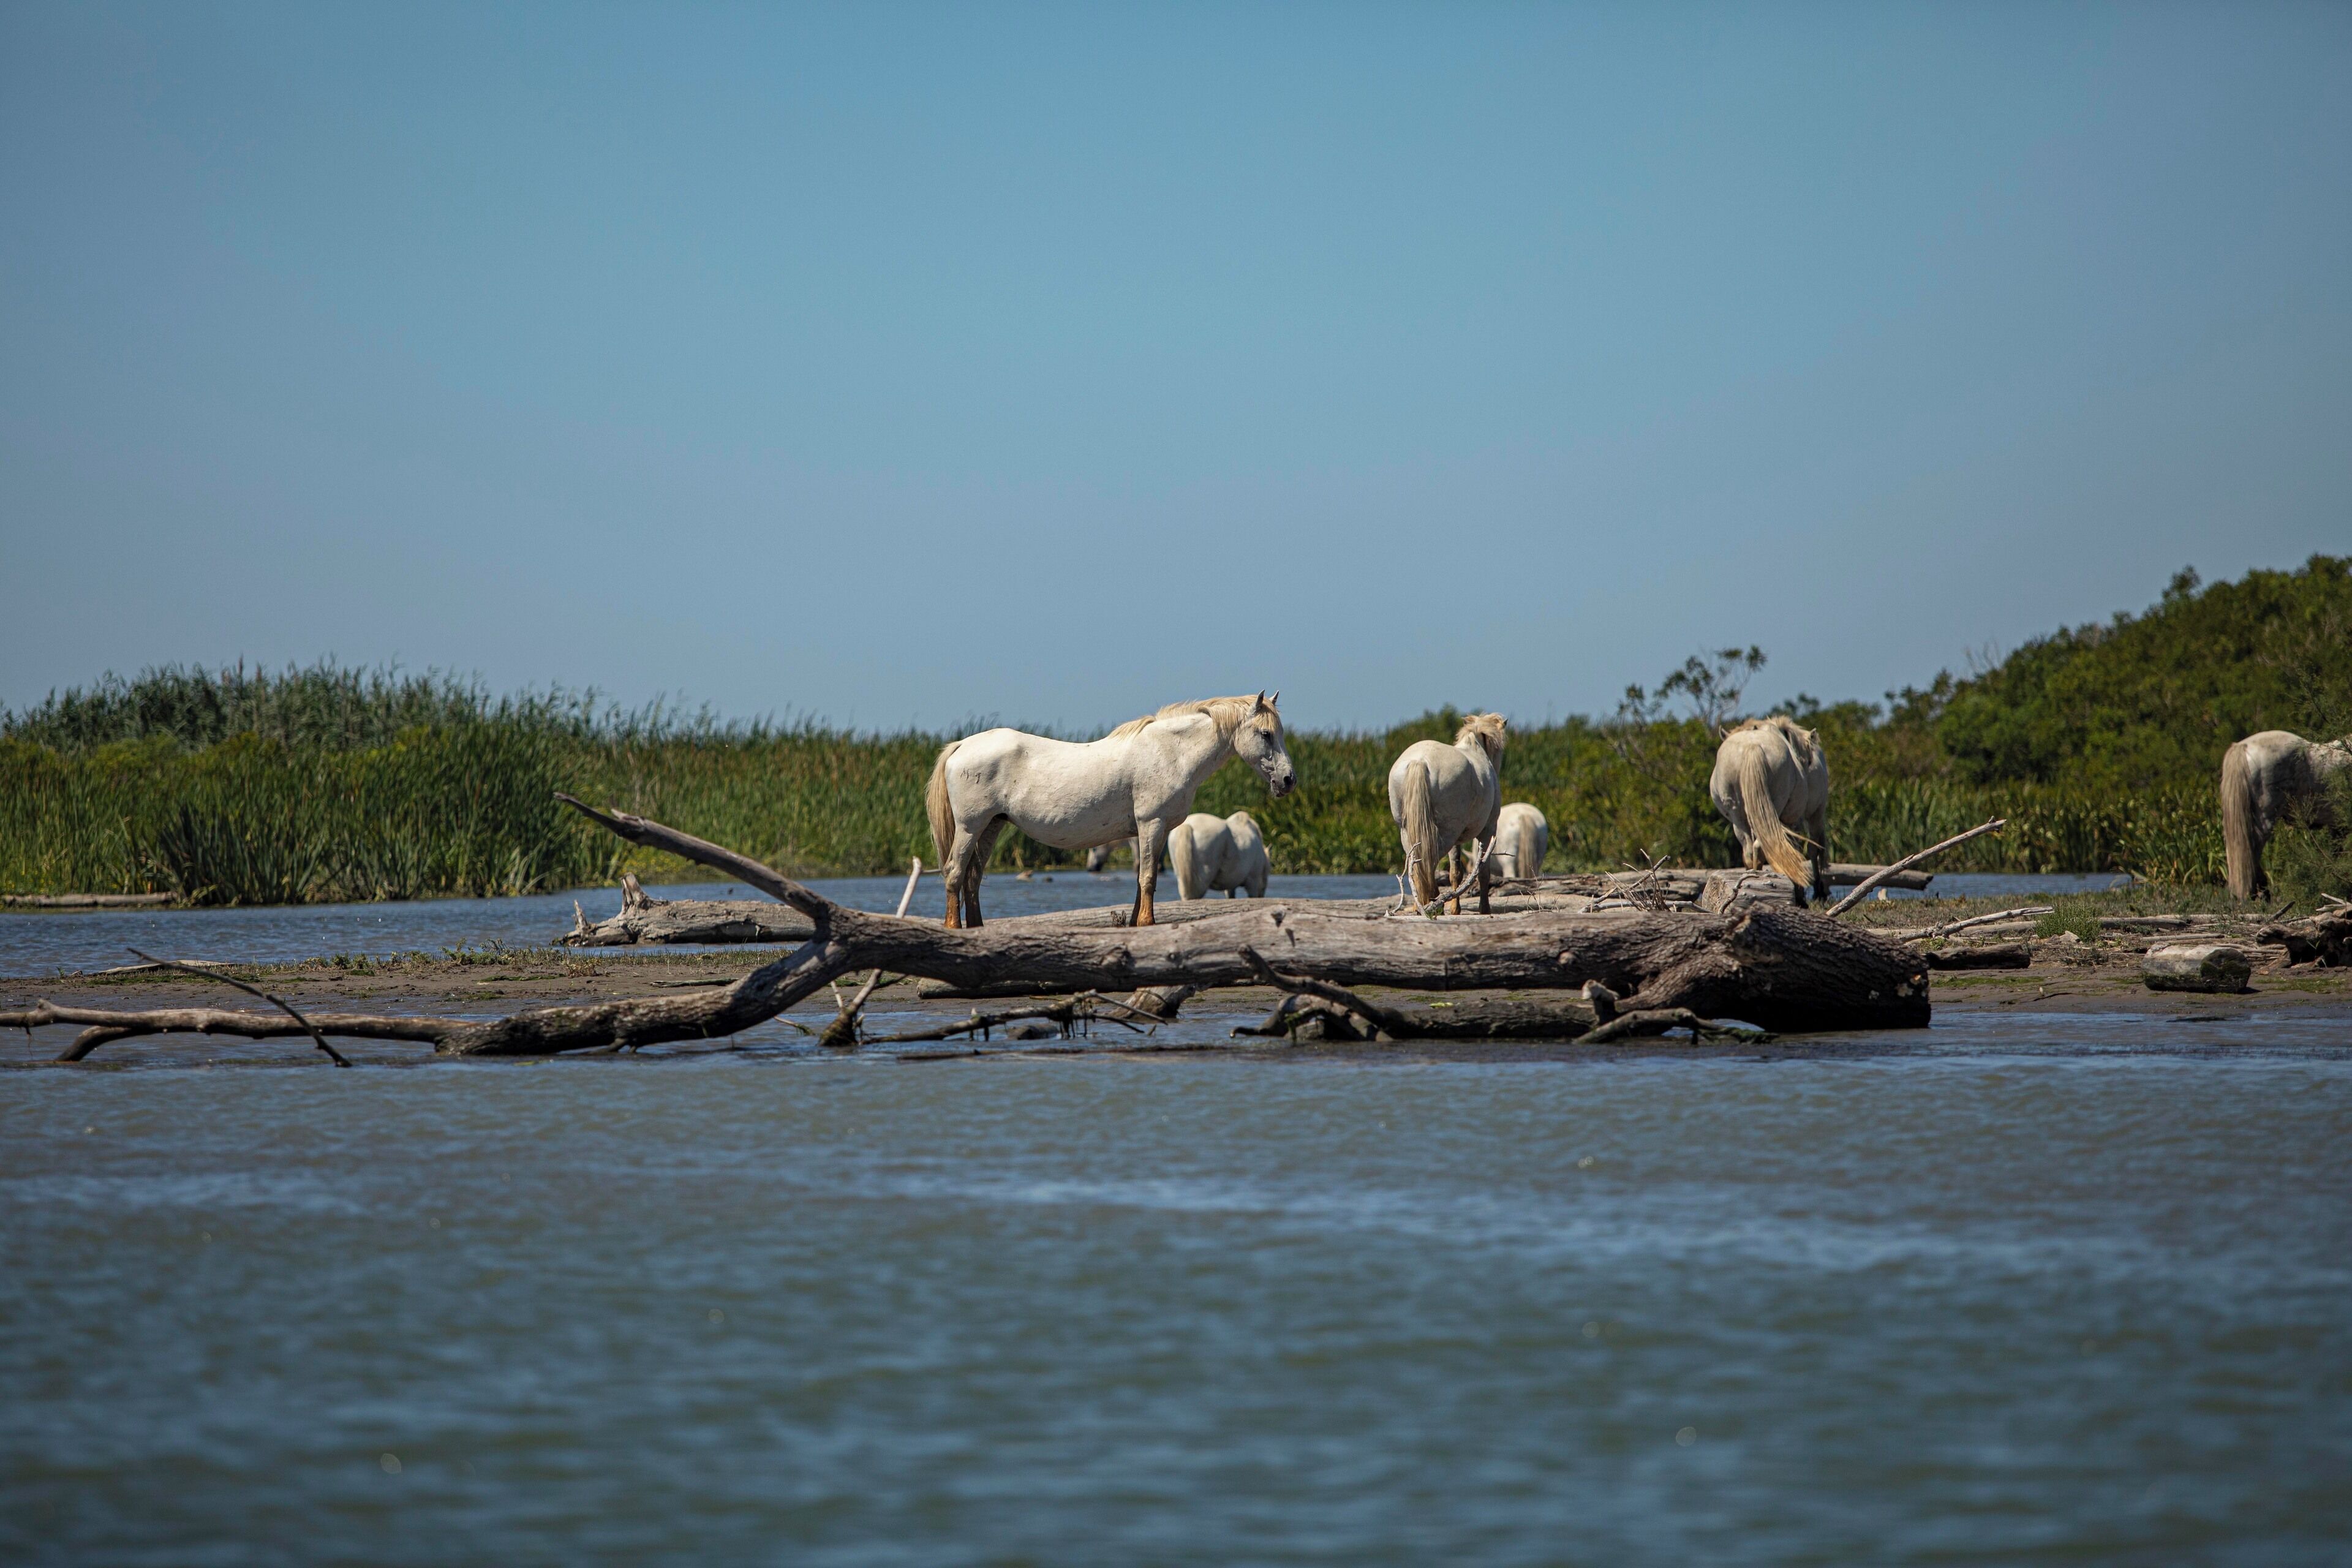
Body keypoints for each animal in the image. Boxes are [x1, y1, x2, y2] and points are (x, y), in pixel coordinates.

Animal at [1388, 713, 1506, 913]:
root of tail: (1420, 761)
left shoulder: (1457, 840)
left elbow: (1455, 873)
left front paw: (1455, 909)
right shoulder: (1489, 829)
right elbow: (1483, 872)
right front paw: (1484, 909)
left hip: (1408, 832)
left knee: (1416, 865)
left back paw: (1420, 904)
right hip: (1447, 833)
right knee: (1429, 862)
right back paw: (1433, 903)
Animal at [1709, 715, 1830, 900]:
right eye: (1808, 759)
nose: (1809, 764)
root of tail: (1752, 747)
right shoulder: (1797, 819)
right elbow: (1802, 850)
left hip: (1738, 815)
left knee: (1750, 850)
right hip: (1799, 813)